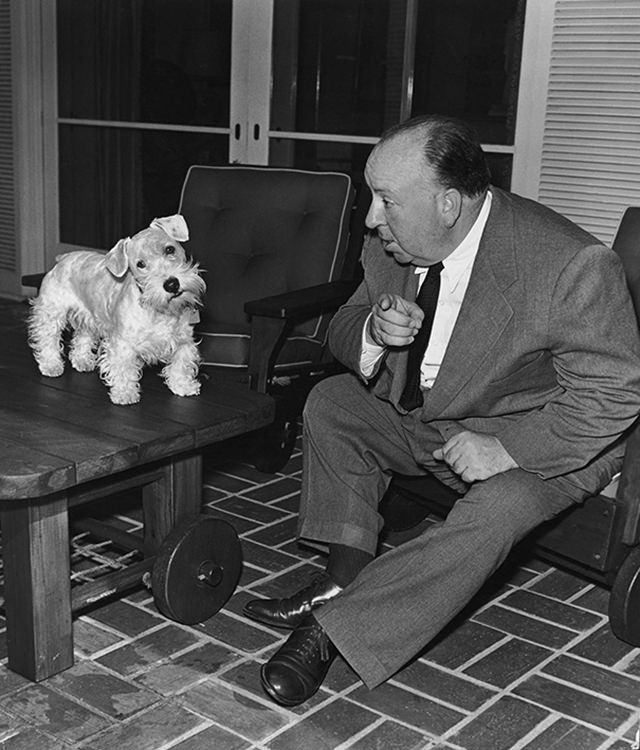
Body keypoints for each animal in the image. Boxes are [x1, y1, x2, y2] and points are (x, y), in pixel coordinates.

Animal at [28, 214, 205, 406]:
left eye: (170, 249)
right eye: (140, 264)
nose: (172, 284)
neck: (159, 310)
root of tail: (63, 258)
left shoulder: (183, 341)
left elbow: (181, 365)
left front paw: (183, 386)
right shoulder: (123, 345)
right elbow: (123, 370)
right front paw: (125, 394)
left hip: (89, 317)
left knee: (83, 336)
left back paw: (82, 360)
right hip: (51, 314)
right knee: (48, 339)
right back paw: (51, 365)